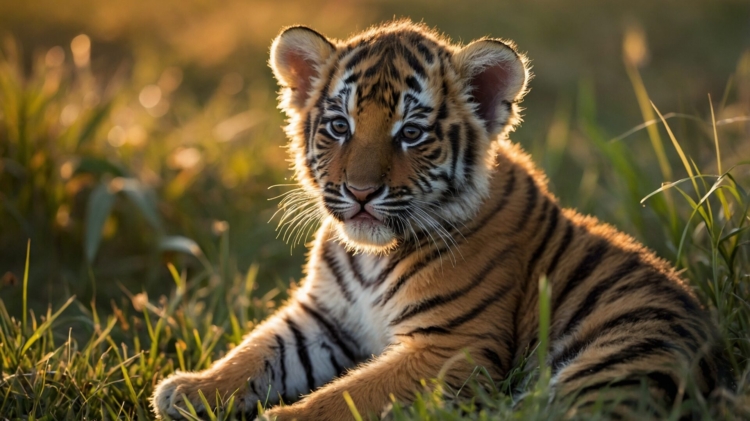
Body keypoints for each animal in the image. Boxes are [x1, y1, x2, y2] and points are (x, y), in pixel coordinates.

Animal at [151, 20, 732, 420]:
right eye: (339, 127)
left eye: (410, 133)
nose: (360, 193)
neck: (371, 256)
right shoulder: (323, 318)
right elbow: (255, 352)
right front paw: (188, 389)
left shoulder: (453, 346)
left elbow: (348, 397)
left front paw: (280, 417)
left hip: (606, 366)